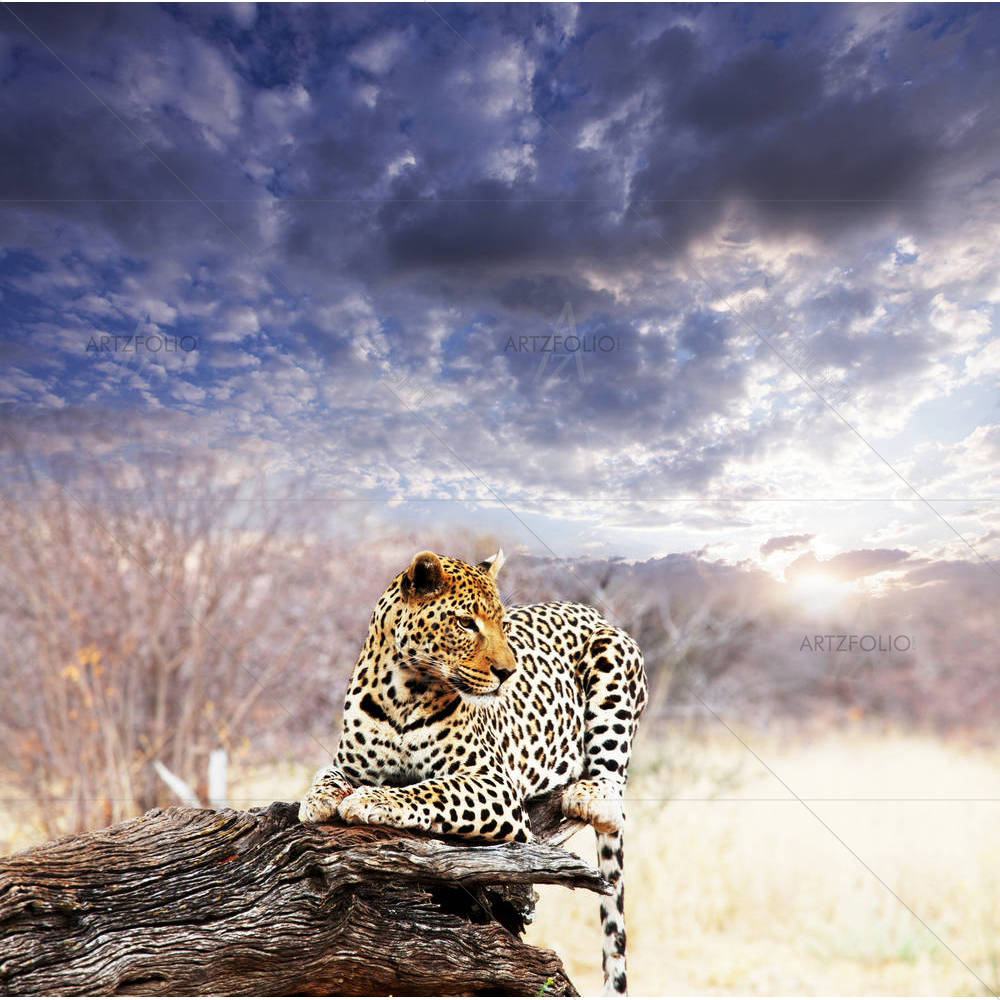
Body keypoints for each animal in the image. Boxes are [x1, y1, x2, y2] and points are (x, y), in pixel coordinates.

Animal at [299, 548, 647, 995]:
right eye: (466, 623)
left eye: (502, 624)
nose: (508, 673)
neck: (403, 692)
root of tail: (591, 610)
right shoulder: (349, 763)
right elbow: (328, 775)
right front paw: (318, 800)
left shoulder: (494, 784)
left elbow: (431, 789)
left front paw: (373, 801)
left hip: (615, 655)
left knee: (612, 791)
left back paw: (588, 794)